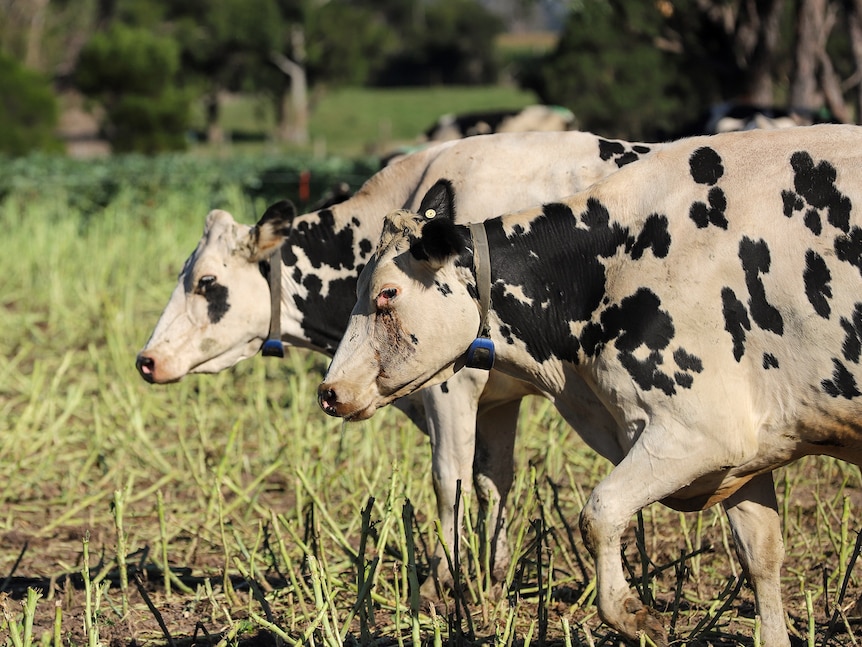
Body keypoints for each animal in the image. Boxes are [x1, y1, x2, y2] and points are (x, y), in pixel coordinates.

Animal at [134, 130, 658, 596]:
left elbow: (449, 479)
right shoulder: (498, 400)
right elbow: (494, 482)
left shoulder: (453, 387)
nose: (146, 360)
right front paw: (495, 574)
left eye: (206, 281)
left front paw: (441, 580)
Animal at [317, 124, 862, 646]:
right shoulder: (750, 451)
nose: (329, 391)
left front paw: (633, 615)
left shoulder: (699, 432)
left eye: (388, 293)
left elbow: (598, 512)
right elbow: (761, 556)